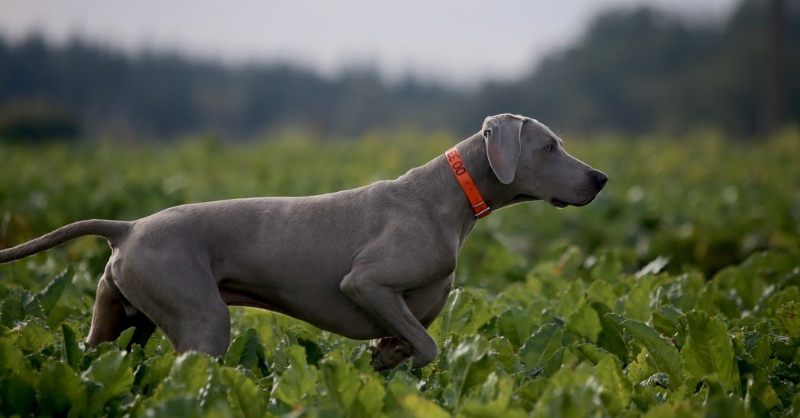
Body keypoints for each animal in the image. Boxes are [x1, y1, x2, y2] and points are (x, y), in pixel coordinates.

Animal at [0, 113, 608, 370]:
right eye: (550, 146)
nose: (602, 178)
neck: (450, 199)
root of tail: (127, 228)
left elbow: (409, 341)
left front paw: (387, 358)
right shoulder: (367, 283)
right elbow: (429, 345)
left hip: (119, 323)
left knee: (94, 361)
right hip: (202, 319)